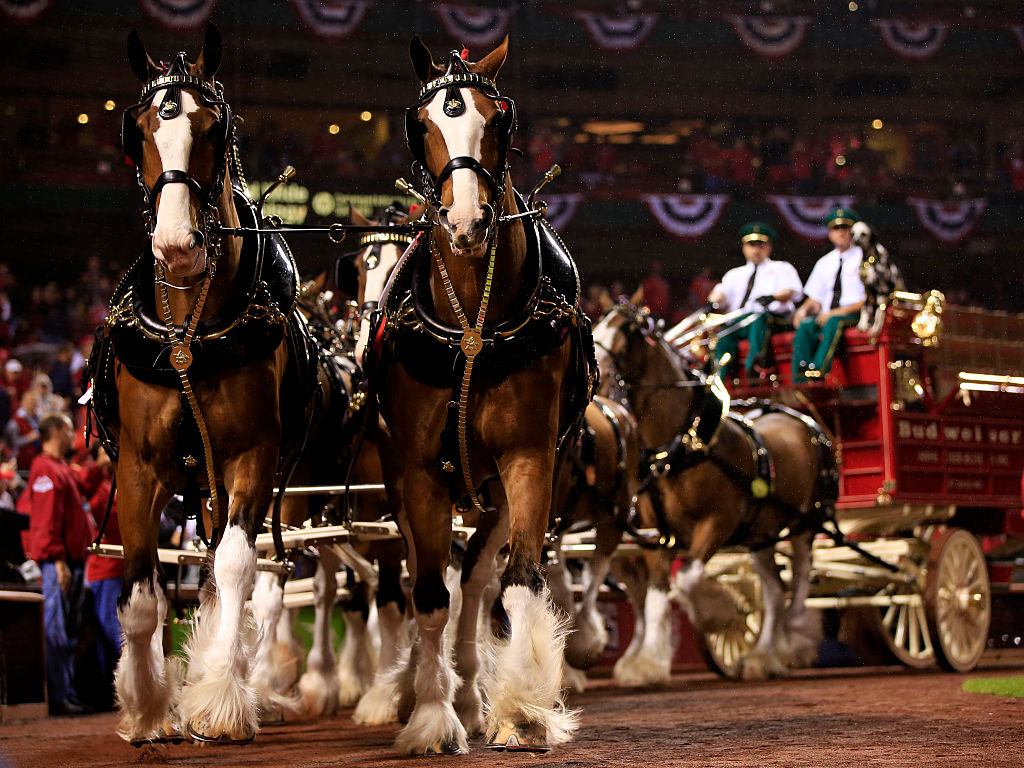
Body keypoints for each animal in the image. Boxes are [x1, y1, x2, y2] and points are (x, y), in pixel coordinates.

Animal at [366, 39, 593, 753]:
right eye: (422, 124)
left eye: (499, 121)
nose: (466, 222)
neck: (471, 327)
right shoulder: (418, 473)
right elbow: (429, 595)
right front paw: (431, 717)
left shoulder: (529, 458)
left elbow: (515, 582)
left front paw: (520, 710)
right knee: (432, 577)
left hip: (494, 488)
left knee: (475, 580)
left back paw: (471, 693)